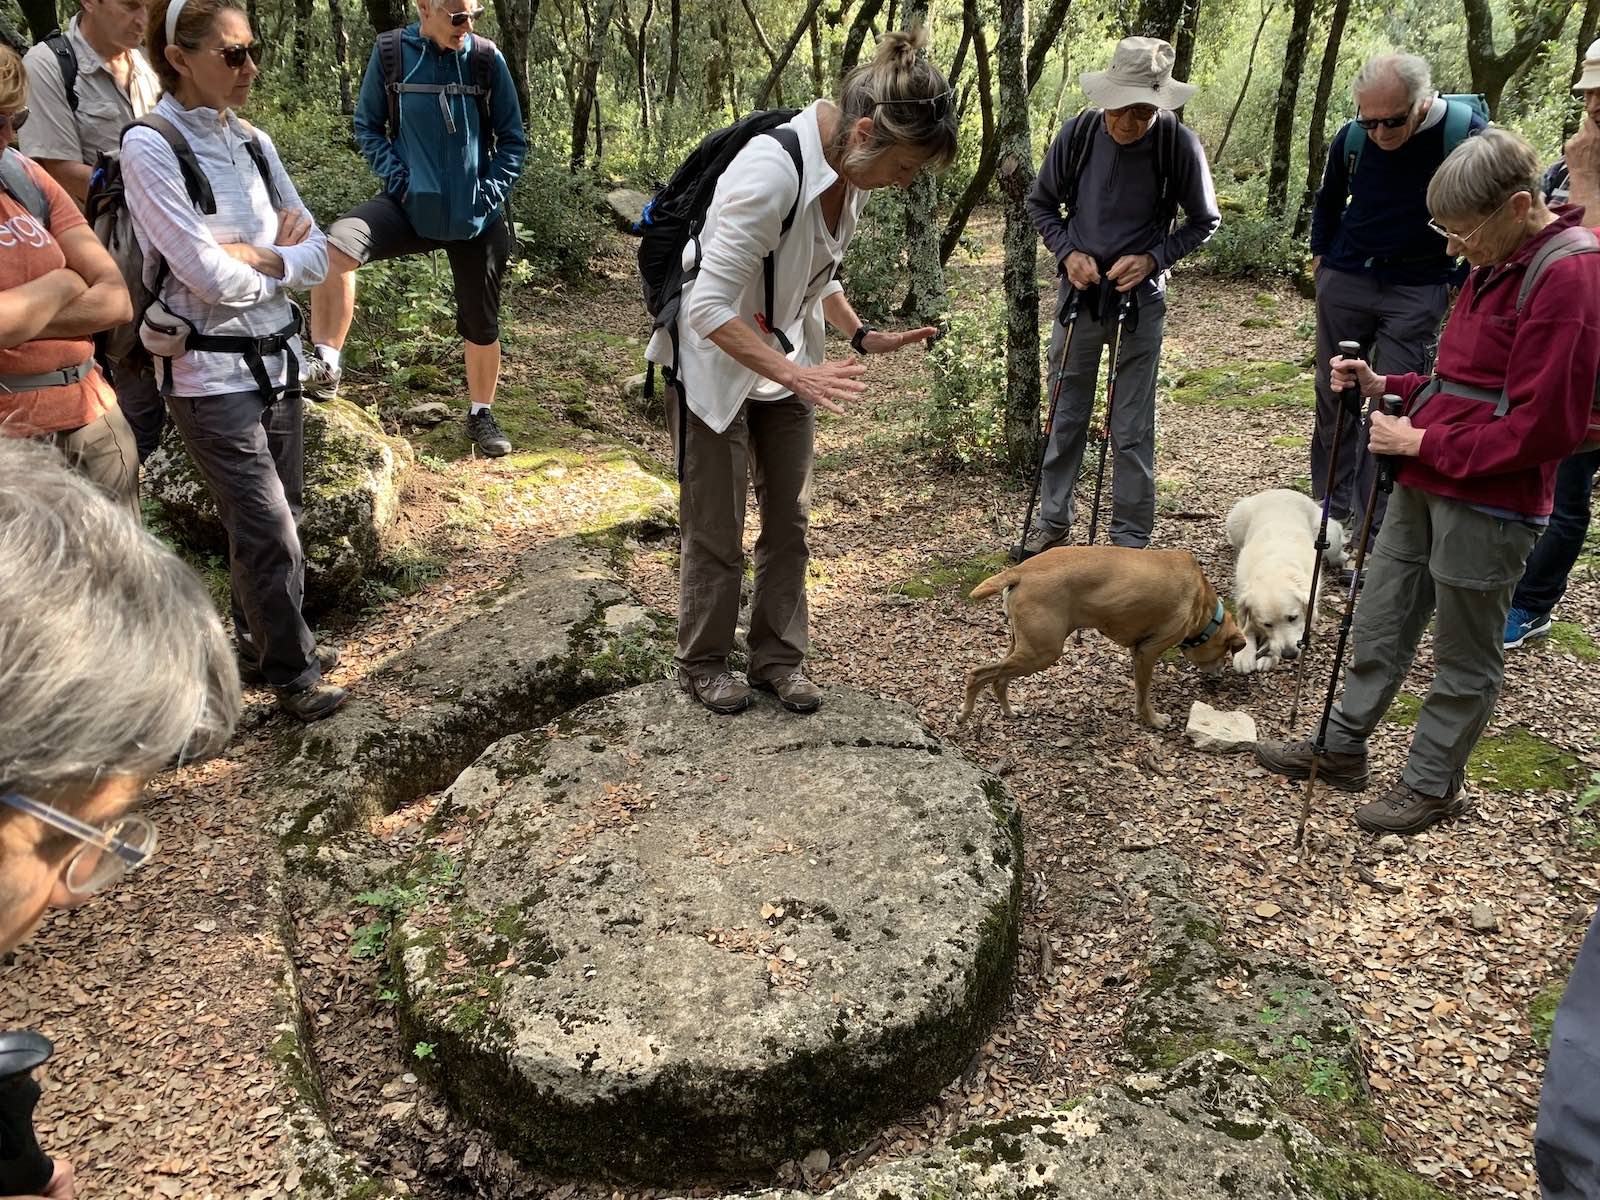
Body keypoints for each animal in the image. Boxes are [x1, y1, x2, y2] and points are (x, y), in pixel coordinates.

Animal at [953, 547, 1241, 732]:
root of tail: (1021, 570)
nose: (1218, 675)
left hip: (1024, 646)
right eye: (1223, 653)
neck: (1202, 606)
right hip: (1042, 653)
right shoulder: (1147, 652)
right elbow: (1145, 694)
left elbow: (1139, 691)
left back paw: (1009, 711)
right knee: (978, 674)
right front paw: (1154, 721)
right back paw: (964, 715)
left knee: (998, 679)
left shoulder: (1138, 654)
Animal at [1228, 489, 1344, 678]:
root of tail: (1283, 490)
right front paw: (1245, 653)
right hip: (1234, 522)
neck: (1274, 567)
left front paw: (1268, 655)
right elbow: (1246, 625)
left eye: (1293, 618)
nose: (1289, 654)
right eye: (1267, 624)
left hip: (1330, 536)